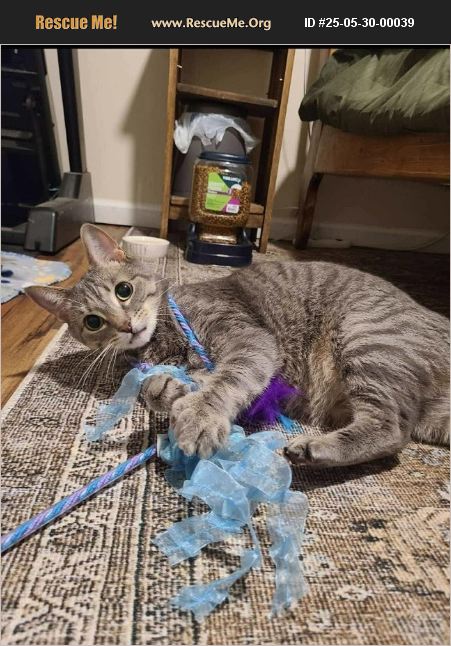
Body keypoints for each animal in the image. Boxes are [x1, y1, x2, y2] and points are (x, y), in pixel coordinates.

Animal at [26, 224, 450, 467]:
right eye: (93, 322)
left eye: (124, 290)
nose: (126, 327)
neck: (161, 340)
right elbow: (177, 383)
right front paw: (168, 388)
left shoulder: (250, 341)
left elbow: (229, 380)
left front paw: (199, 414)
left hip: (368, 340)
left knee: (391, 431)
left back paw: (314, 449)